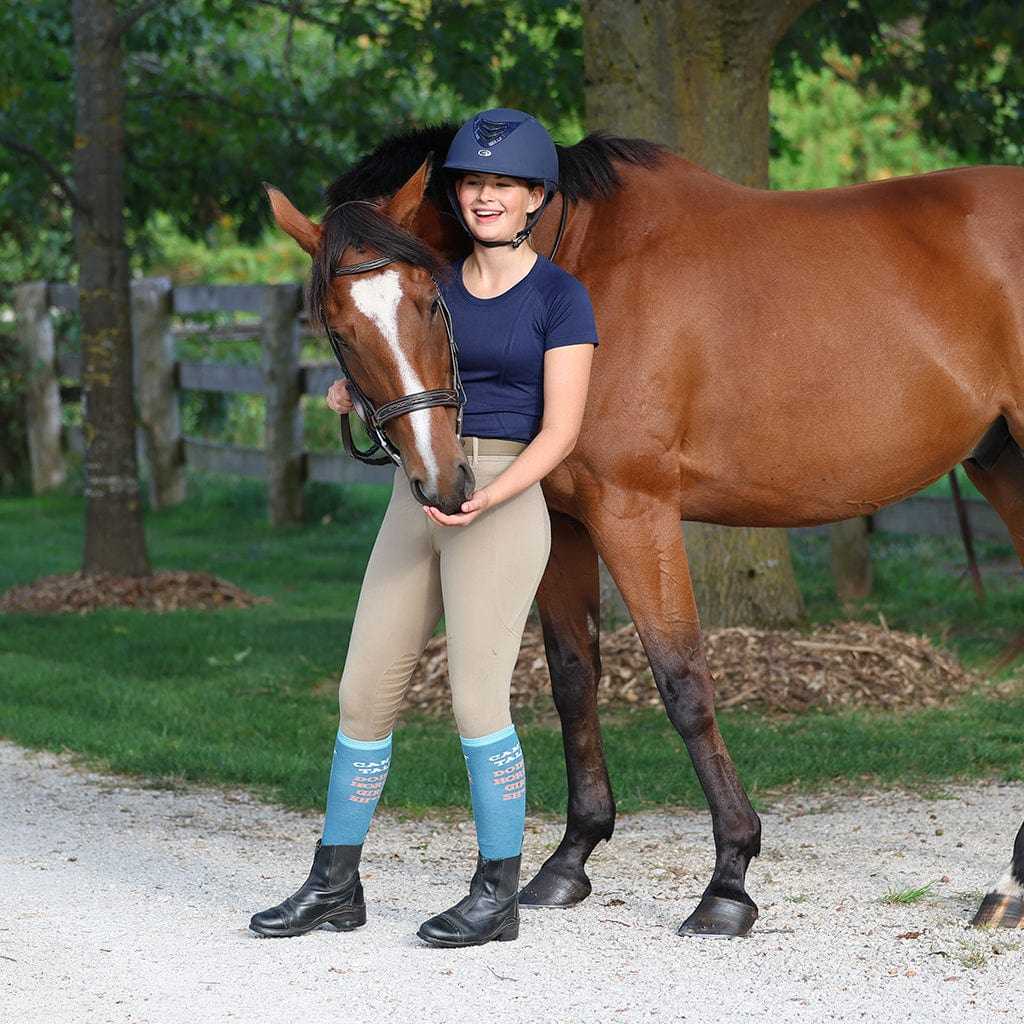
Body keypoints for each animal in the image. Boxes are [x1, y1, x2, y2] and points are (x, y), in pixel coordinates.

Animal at [265, 126, 1024, 937]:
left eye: (428, 302)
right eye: (338, 329)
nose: (444, 482)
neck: (580, 263)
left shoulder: (636, 511)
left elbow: (682, 680)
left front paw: (729, 882)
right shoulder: (565, 521)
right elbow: (574, 678)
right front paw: (569, 862)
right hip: (1004, 468)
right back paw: (1008, 886)